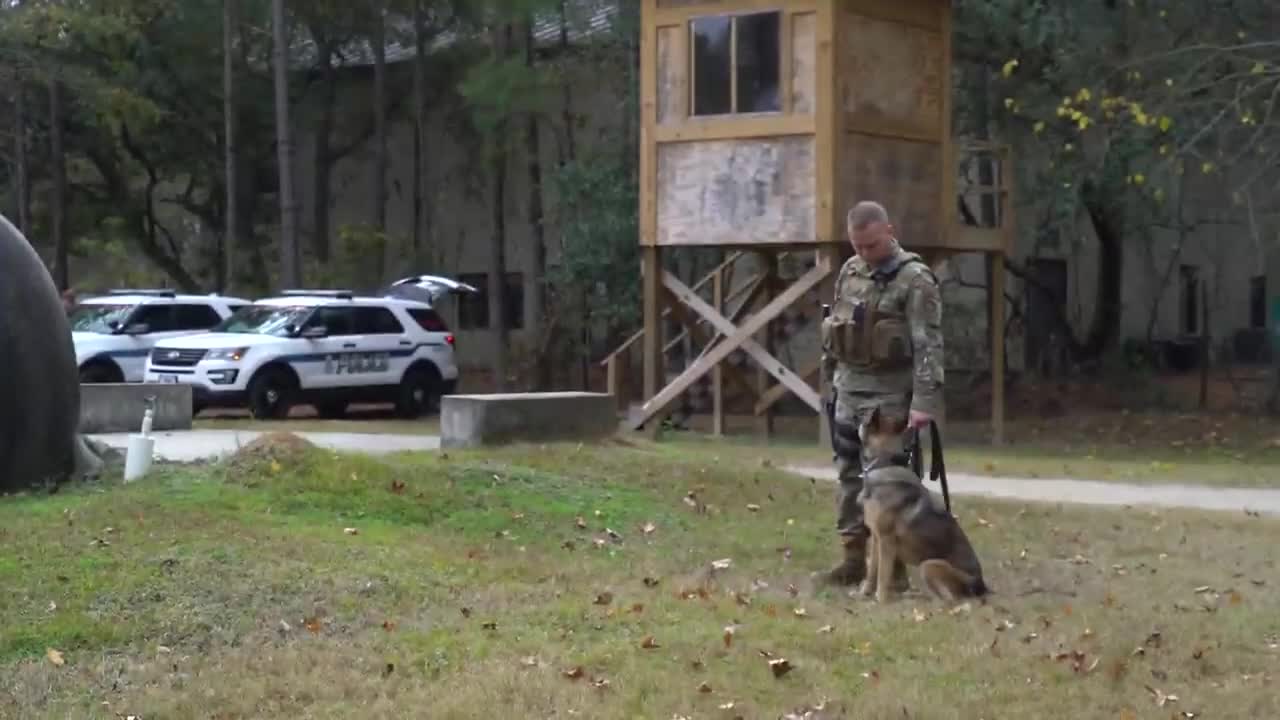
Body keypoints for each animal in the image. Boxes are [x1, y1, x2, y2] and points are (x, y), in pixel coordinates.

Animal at [855, 404, 993, 599]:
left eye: (864, 416)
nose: (855, 413)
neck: (885, 463)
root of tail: (981, 585)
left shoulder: (886, 541)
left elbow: (882, 574)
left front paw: (880, 599)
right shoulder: (876, 539)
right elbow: (872, 571)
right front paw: (865, 593)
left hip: (928, 565)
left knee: (949, 599)